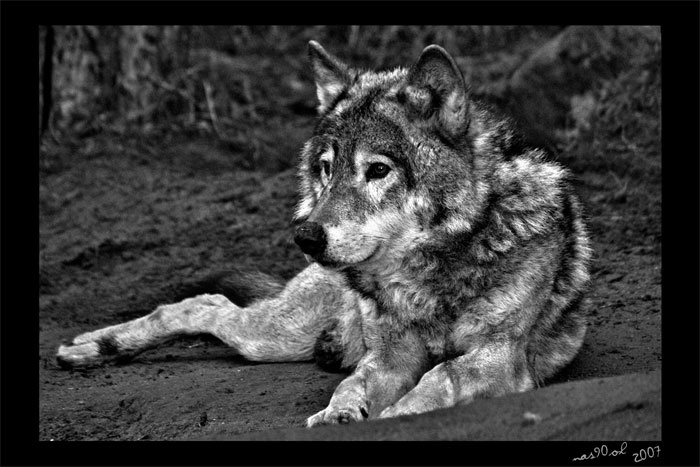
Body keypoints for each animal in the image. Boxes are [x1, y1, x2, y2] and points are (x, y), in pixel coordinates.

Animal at [56, 41, 592, 426]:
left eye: (378, 170)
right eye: (326, 168)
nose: (306, 237)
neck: (427, 278)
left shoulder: (498, 358)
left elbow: (441, 377)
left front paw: (392, 415)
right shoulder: (389, 358)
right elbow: (352, 385)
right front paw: (339, 413)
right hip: (272, 337)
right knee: (198, 305)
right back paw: (94, 347)